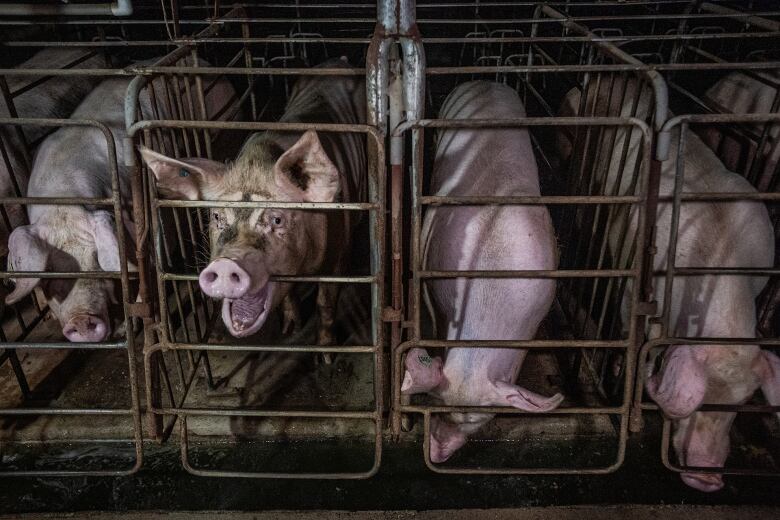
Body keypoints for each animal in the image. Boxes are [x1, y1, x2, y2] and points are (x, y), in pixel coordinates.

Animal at [139, 58, 366, 346]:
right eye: (217, 217)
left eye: (277, 219)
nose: (227, 263)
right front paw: (289, 331)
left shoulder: (339, 251)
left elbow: (325, 303)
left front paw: (326, 351)